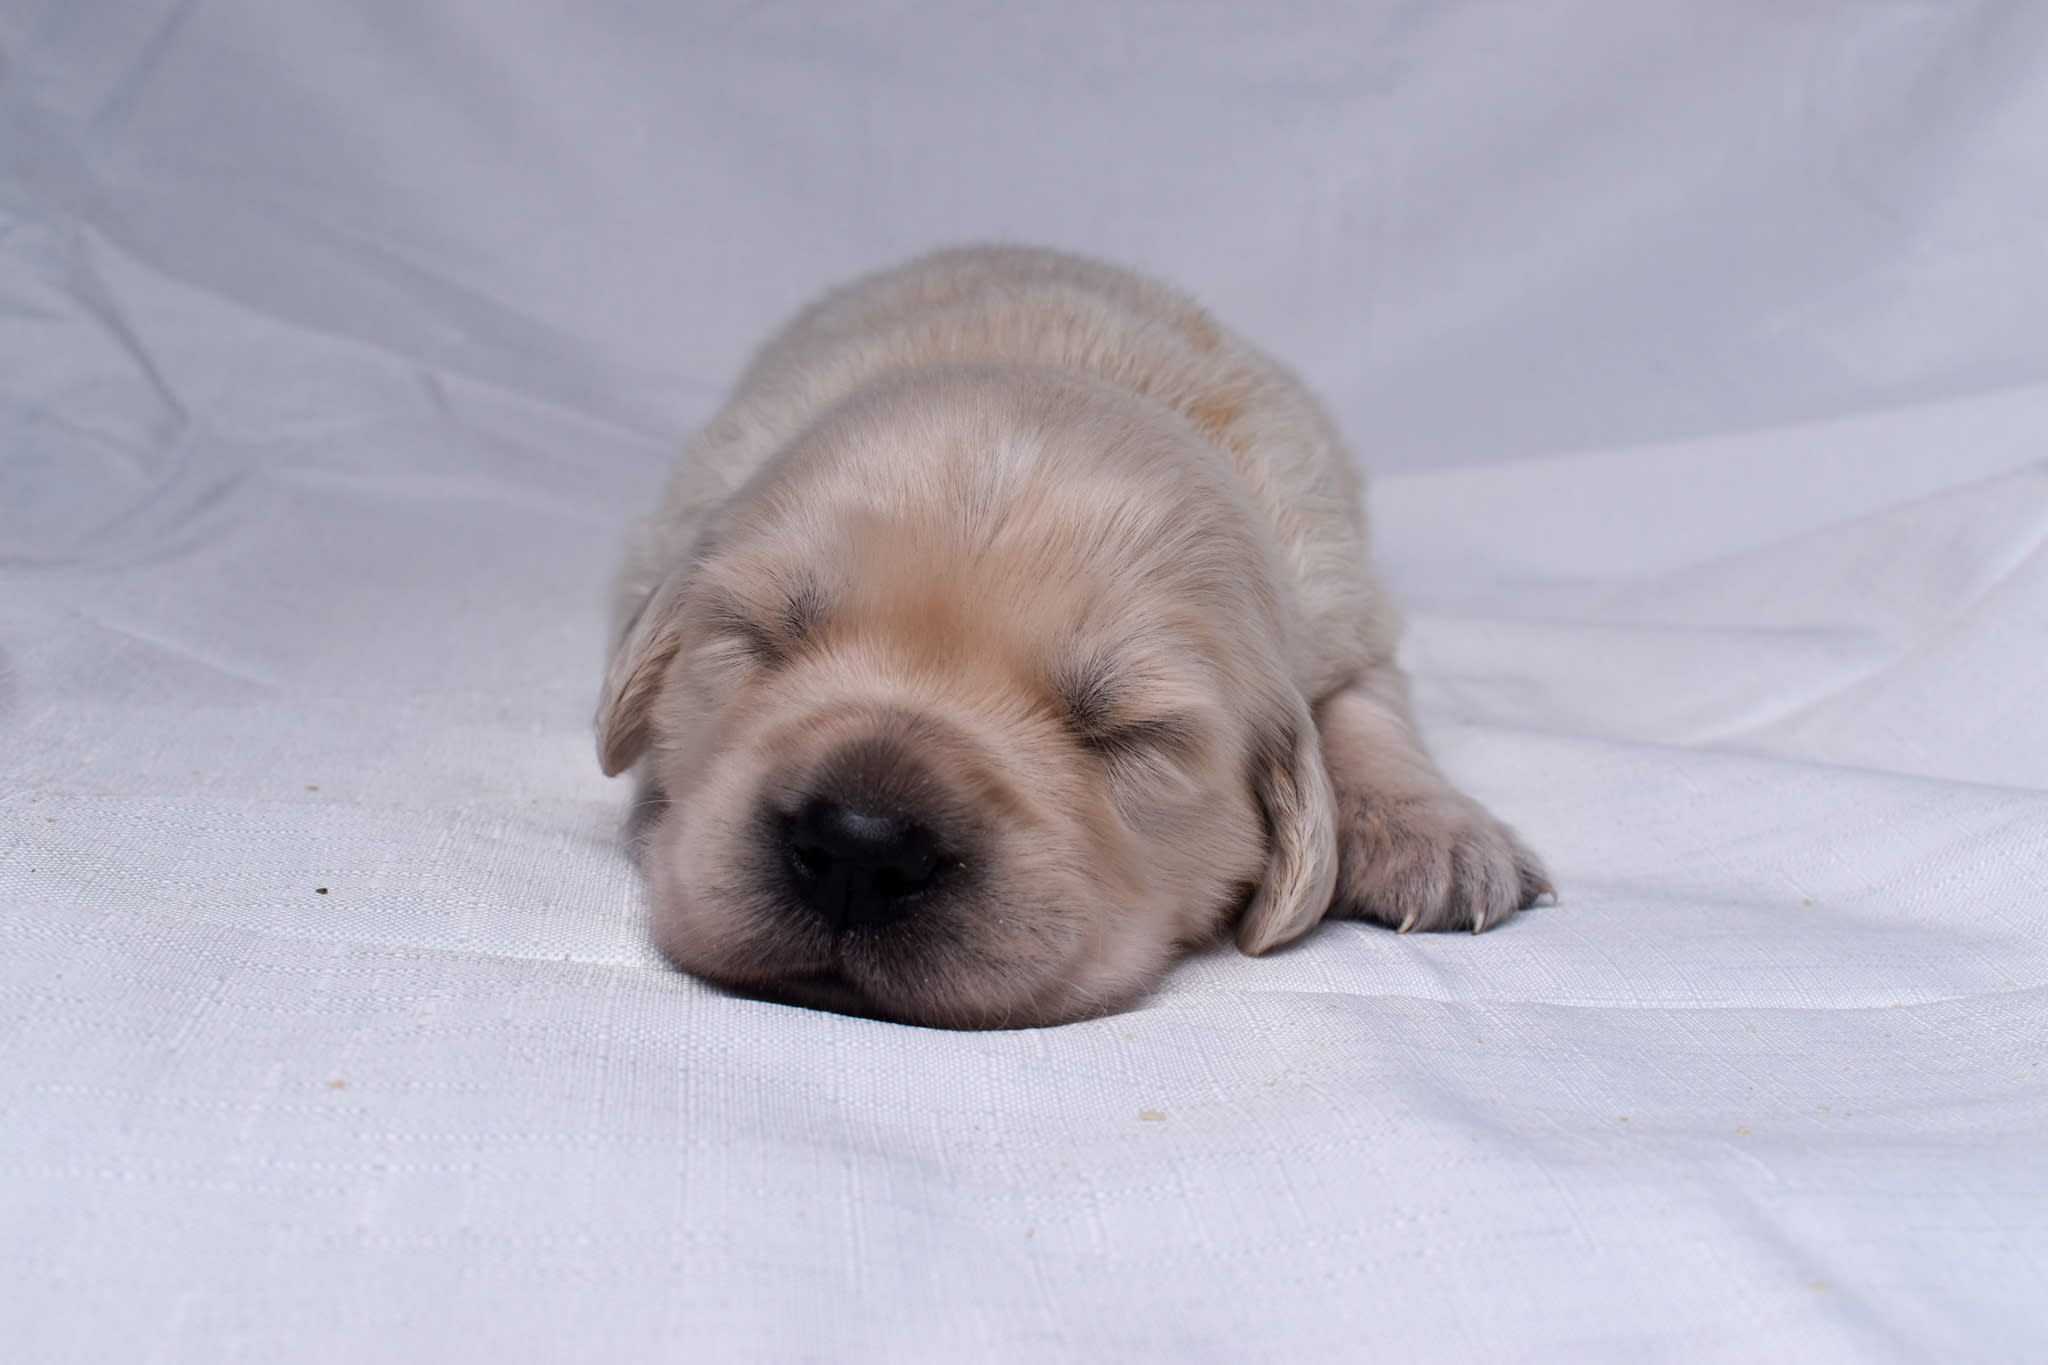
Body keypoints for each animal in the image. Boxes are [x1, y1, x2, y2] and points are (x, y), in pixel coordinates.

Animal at [598, 250, 1540, 1031]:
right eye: (762, 639)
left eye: (1124, 731)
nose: (860, 846)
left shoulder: (1343, 598)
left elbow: (1367, 704)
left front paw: (1430, 832)